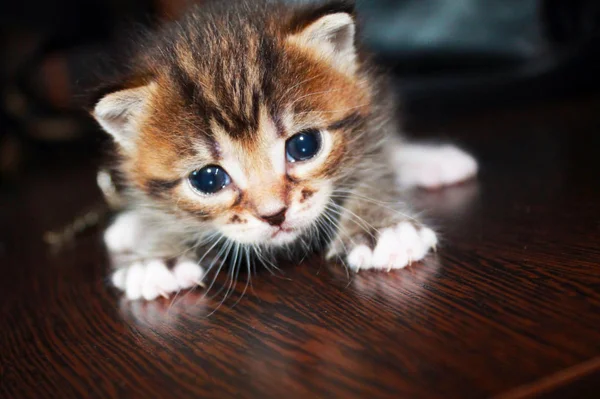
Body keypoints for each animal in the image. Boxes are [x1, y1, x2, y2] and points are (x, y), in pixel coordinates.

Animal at [92, 0, 478, 300]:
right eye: (208, 179)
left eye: (304, 146)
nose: (274, 214)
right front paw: (159, 256)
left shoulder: (373, 118)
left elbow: (376, 167)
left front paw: (380, 230)